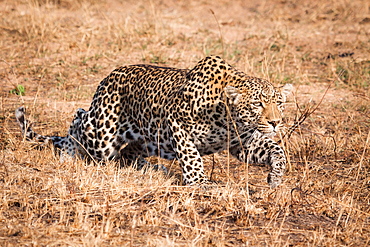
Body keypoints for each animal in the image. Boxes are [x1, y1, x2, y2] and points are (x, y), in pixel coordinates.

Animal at [15, 55, 292, 187]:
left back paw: (151, 169)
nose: (276, 122)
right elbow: (191, 156)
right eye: (258, 104)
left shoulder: (241, 143)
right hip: (102, 135)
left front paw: (275, 178)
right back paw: (68, 153)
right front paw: (200, 183)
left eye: (279, 103)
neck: (228, 116)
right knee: (78, 118)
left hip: (151, 142)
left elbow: (276, 150)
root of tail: (107, 78)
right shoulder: (176, 121)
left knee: (127, 153)